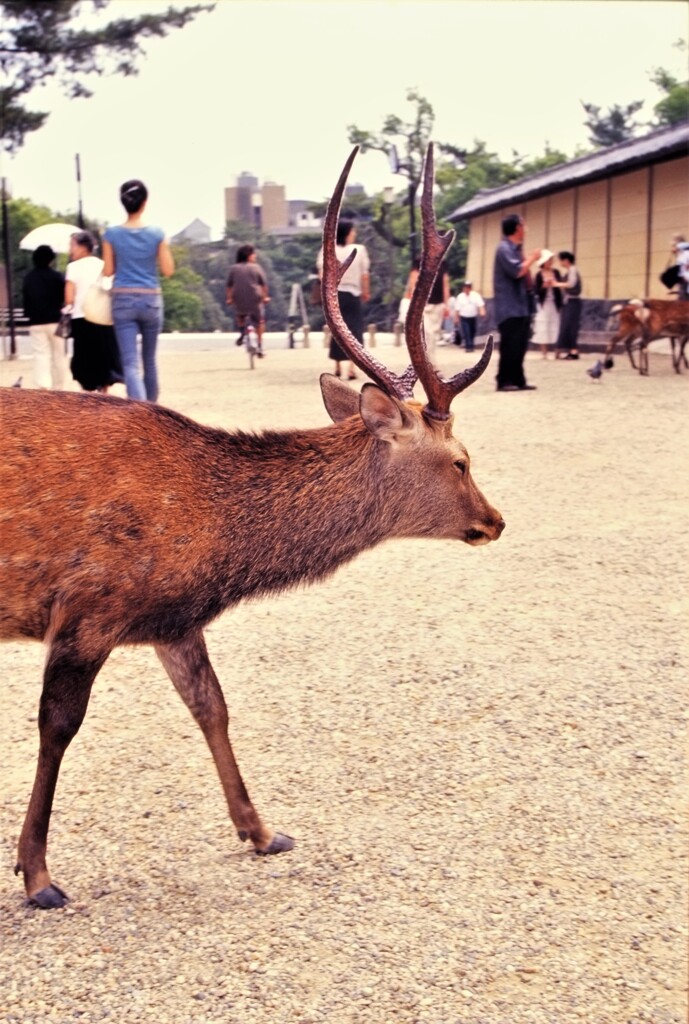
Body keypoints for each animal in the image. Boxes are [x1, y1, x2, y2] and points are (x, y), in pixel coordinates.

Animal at [1, 144, 505, 905]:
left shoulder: (172, 618)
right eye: (460, 460)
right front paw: (37, 874)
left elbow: (212, 706)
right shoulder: (89, 605)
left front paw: (263, 831)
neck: (215, 536)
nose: (495, 520)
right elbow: (57, 727)